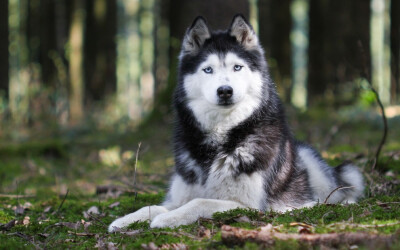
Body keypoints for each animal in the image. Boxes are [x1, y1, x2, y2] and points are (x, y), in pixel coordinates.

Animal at [108, 14, 364, 231]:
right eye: (208, 69)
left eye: (237, 67)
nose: (225, 91)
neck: (221, 137)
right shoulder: (179, 195)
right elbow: (152, 206)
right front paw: (124, 220)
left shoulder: (247, 204)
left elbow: (199, 202)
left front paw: (167, 219)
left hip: (311, 161)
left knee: (337, 194)